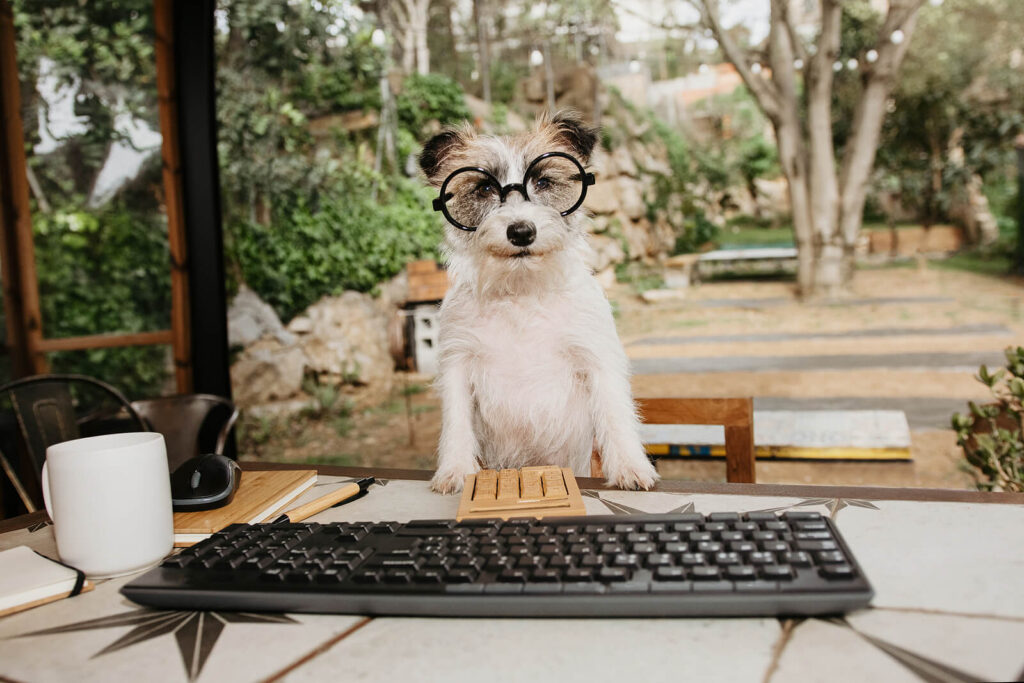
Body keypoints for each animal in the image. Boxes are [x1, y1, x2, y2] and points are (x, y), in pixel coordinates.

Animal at [419, 111, 659, 497]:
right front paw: (454, 470)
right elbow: (456, 423)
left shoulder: (598, 359)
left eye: (543, 181)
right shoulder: (457, 364)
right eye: (484, 188)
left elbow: (615, 414)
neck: (522, 293)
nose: (521, 232)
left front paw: (629, 466)